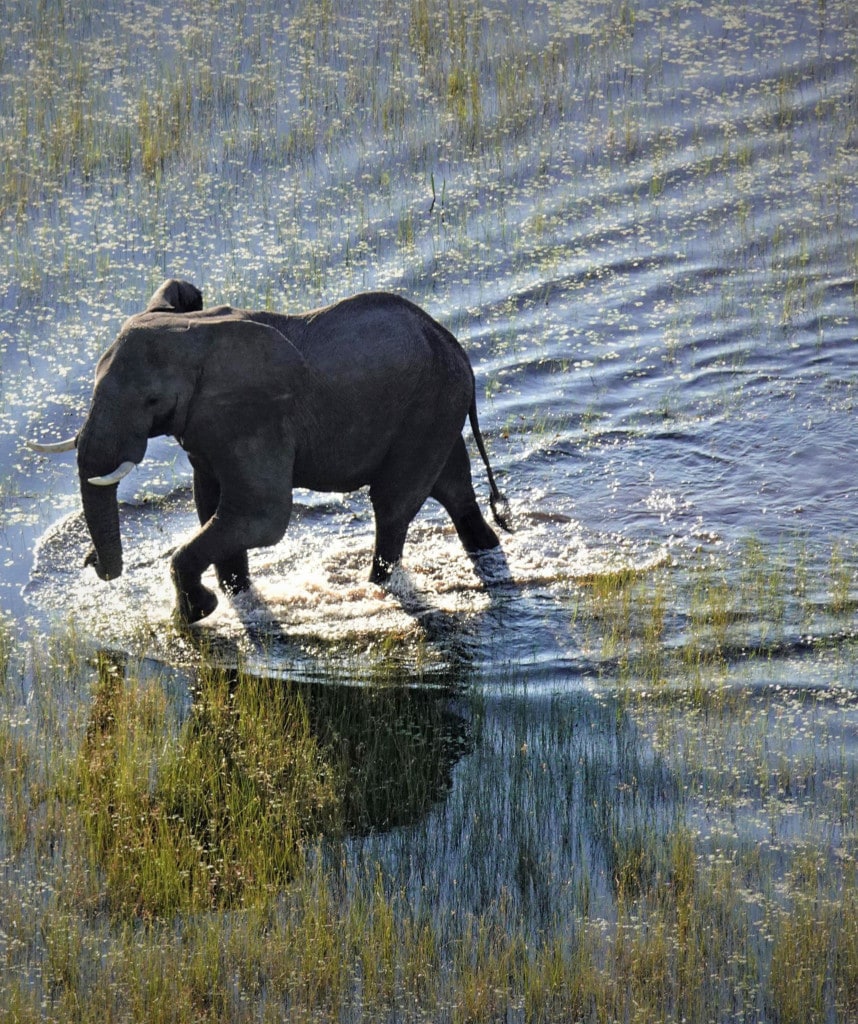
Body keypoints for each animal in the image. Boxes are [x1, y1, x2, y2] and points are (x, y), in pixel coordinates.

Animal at [31, 280, 510, 623]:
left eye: (150, 400)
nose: (90, 561)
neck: (196, 335)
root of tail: (454, 345)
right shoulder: (207, 426)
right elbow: (211, 505)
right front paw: (236, 596)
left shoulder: (256, 417)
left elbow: (262, 515)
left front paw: (196, 614)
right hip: (437, 408)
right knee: (454, 491)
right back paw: (487, 552)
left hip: (427, 409)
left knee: (392, 507)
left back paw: (377, 586)